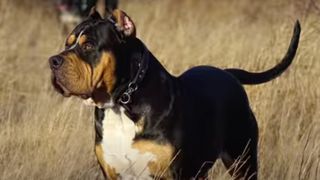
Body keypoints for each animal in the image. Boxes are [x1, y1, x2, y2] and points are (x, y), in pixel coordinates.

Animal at [47, 6, 300, 179]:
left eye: (88, 45)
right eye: (67, 43)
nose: (53, 61)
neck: (122, 104)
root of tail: (228, 74)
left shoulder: (173, 173)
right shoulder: (112, 172)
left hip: (242, 161)